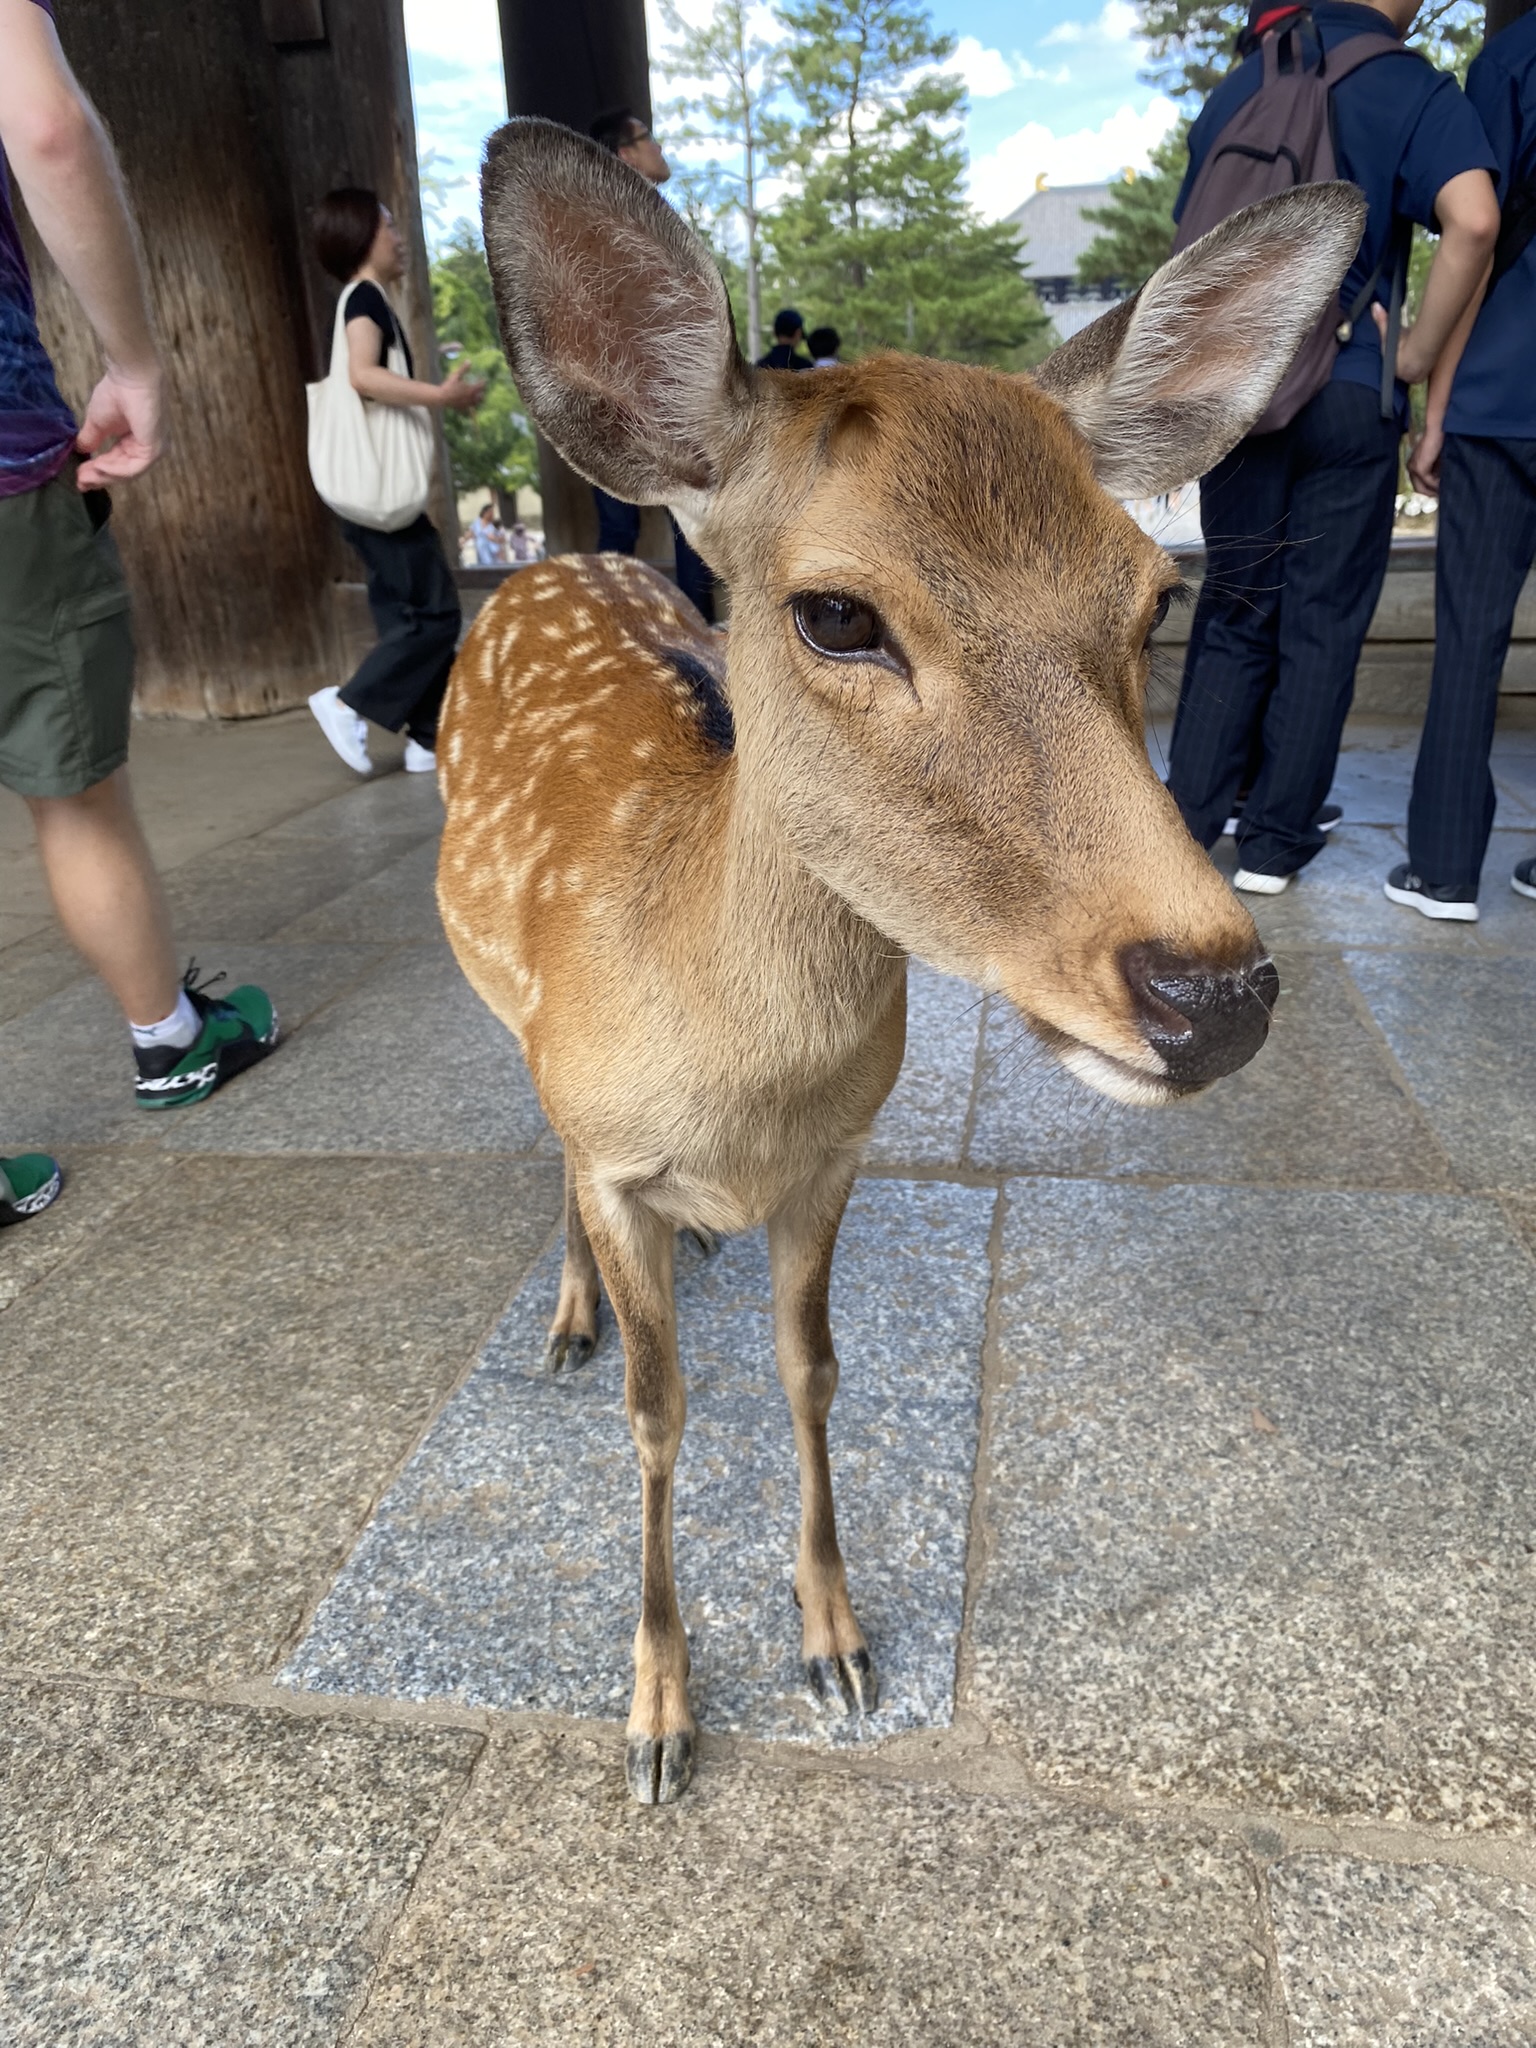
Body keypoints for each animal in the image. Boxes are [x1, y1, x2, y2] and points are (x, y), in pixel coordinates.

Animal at [438, 119, 1368, 1802]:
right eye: (835, 612)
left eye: (1159, 594)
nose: (1211, 992)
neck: (731, 1087)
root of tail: (546, 561)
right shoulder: (615, 1151)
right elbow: (657, 1413)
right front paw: (659, 1715)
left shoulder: (839, 1157)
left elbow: (814, 1371)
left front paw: (841, 1646)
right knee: (537, 1136)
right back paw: (566, 1314)